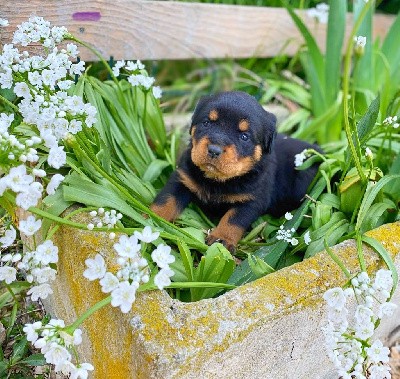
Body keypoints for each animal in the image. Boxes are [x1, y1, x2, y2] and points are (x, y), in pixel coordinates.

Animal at [150, 91, 318, 252]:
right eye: (206, 123)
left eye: (244, 136)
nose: (214, 150)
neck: (217, 180)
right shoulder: (182, 178)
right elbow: (166, 200)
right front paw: (150, 218)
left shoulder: (253, 199)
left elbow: (233, 219)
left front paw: (221, 239)